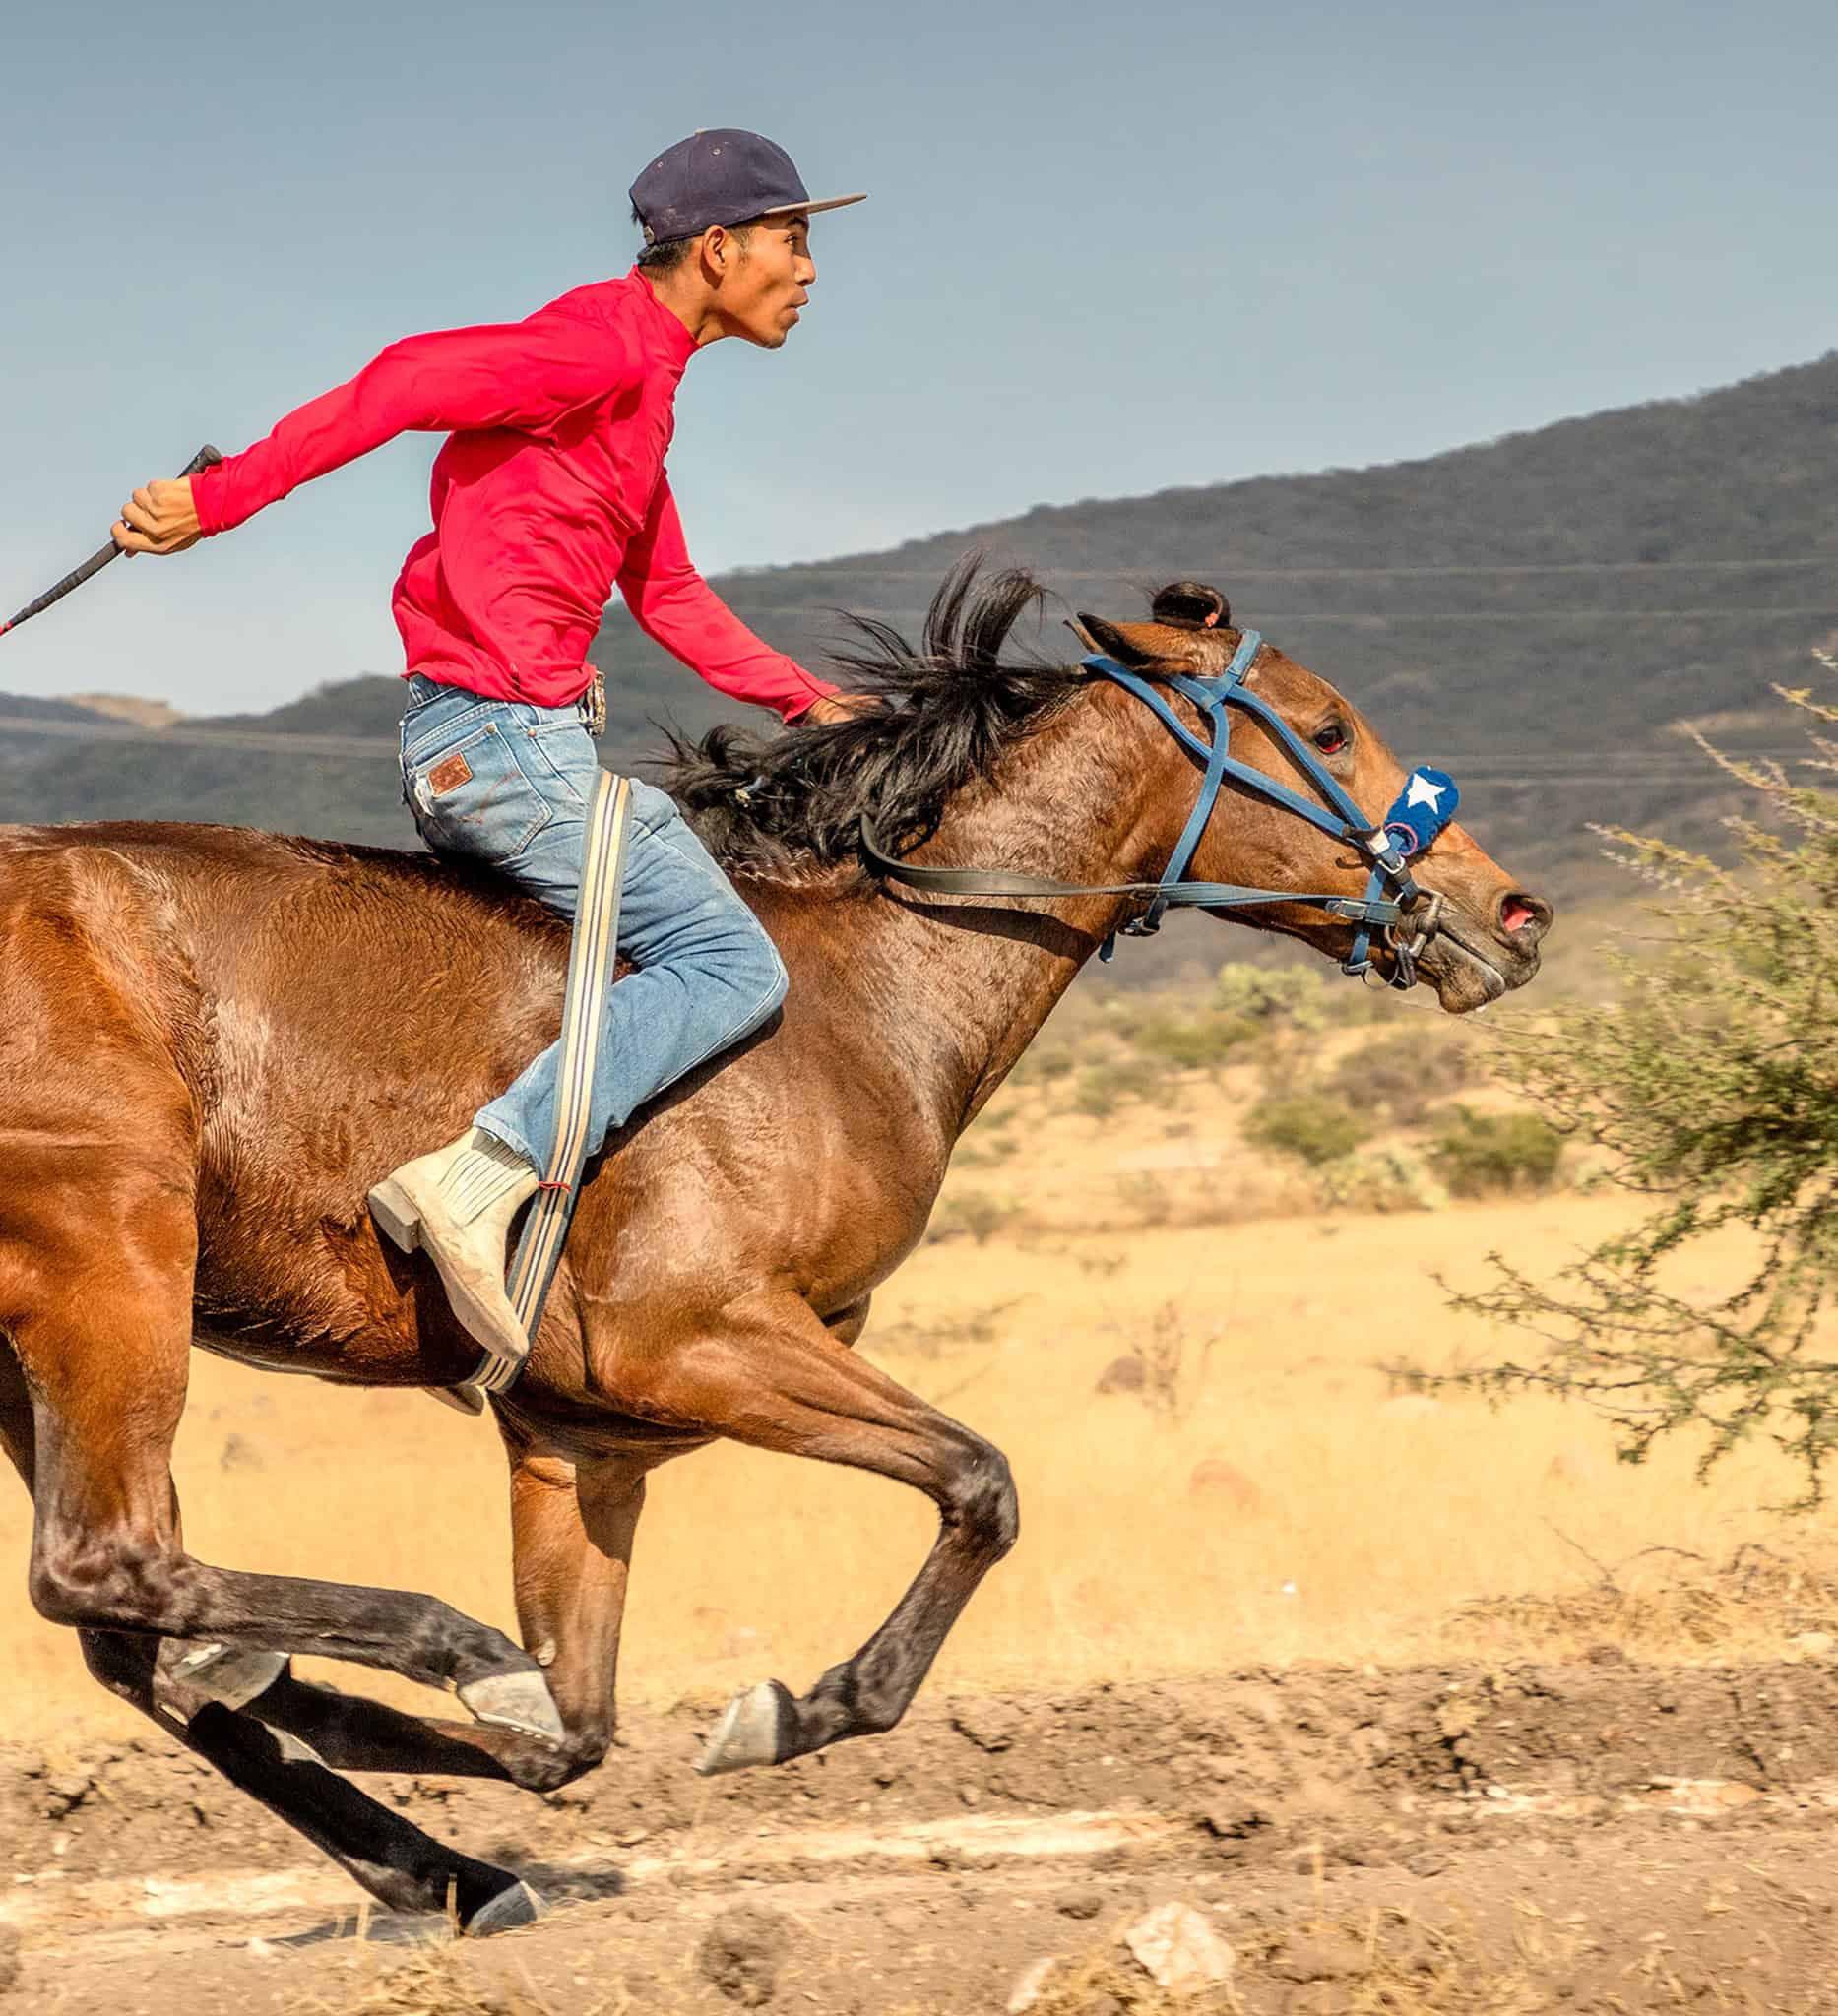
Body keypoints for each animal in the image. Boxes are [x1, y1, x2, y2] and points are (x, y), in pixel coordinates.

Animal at [0, 563, 1550, 1930]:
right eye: (1331, 727)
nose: (1512, 915)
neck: (863, 992)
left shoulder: (585, 1434)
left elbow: (571, 1728)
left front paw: (362, 1725)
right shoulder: (702, 1342)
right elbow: (979, 1486)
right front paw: (786, 1710)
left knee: (124, 1629)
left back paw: (424, 1845)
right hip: (114, 1262)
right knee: (105, 1566)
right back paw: (426, 1657)